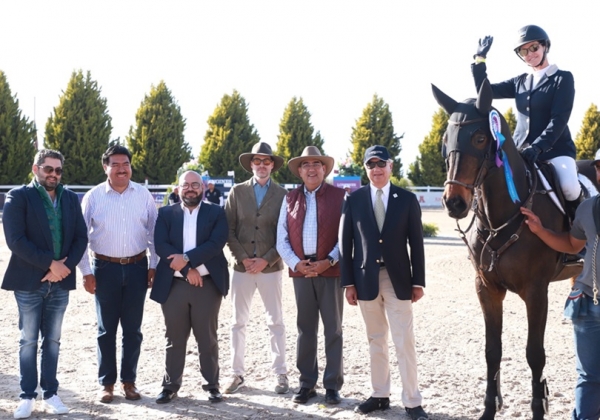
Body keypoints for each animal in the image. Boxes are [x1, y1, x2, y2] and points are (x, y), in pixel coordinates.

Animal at [432, 79, 580, 420]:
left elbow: (535, 353)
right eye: (445, 139)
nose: (454, 203)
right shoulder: (487, 289)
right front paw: (489, 408)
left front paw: (539, 407)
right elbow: (492, 351)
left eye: (480, 137)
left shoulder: (536, 292)